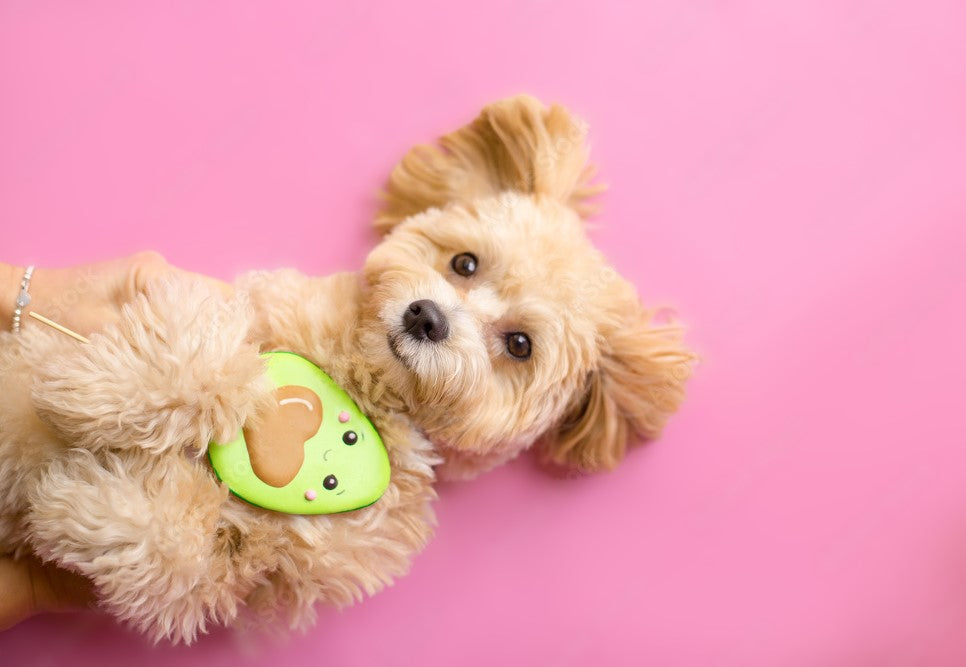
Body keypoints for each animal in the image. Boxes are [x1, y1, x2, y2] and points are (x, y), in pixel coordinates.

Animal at [0, 94, 696, 640]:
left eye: (520, 345)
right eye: (464, 264)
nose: (426, 317)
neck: (367, 387)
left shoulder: (262, 569)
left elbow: (182, 560)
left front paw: (84, 502)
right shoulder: (231, 310)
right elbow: (201, 359)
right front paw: (94, 391)